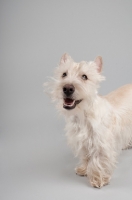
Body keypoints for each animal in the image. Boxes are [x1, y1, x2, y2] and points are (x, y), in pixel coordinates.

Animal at [44, 53, 132, 188]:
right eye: (64, 74)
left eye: (84, 77)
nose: (67, 88)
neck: (83, 114)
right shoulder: (82, 141)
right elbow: (86, 156)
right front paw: (84, 169)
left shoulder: (101, 144)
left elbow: (98, 160)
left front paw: (98, 178)